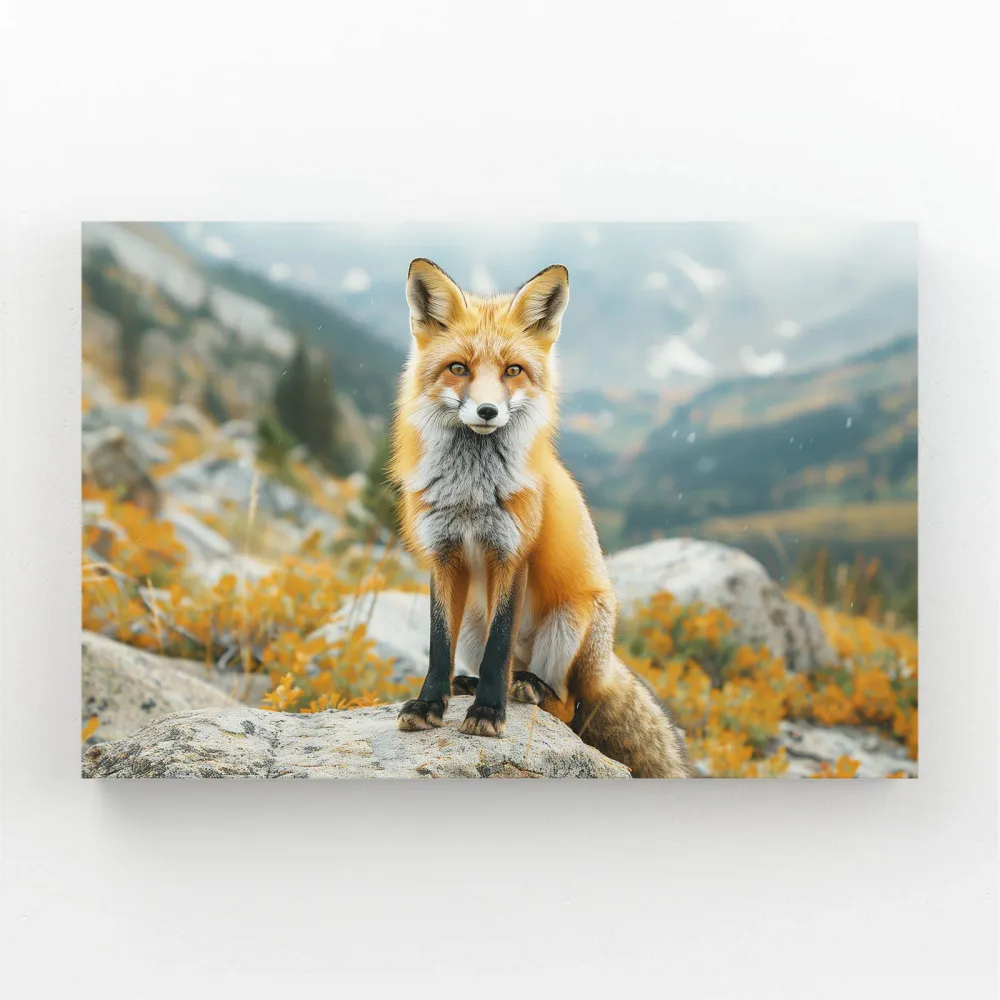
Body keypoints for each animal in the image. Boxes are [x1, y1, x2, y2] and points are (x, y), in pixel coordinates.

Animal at [388, 258, 693, 778]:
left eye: (513, 370)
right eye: (458, 368)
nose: (487, 410)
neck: (471, 494)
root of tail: (607, 664)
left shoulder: (512, 553)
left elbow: (499, 648)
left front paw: (489, 713)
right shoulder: (443, 554)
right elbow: (437, 646)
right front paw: (431, 704)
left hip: (572, 620)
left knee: (566, 704)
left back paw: (528, 689)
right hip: (474, 619)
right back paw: (474, 685)